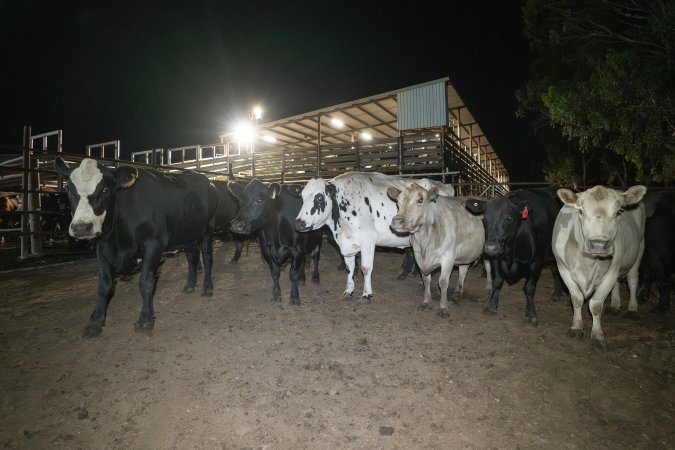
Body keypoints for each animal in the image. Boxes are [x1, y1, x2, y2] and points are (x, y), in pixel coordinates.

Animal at [54, 158, 217, 338]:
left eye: (105, 189)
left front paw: (145, 318)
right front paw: (94, 322)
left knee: (207, 258)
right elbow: (104, 286)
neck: (118, 240)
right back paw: (189, 285)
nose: (82, 227)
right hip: (187, 233)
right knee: (192, 257)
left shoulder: (154, 244)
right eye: (69, 189)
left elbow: (146, 282)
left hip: (207, 230)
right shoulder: (102, 247)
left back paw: (207, 287)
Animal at [294, 171, 456, 302]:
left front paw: (366, 294)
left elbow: (366, 268)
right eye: (301, 197)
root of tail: (444, 185)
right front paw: (349, 291)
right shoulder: (347, 243)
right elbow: (350, 268)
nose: (299, 223)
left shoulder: (368, 239)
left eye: (320, 198)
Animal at [388, 183, 488, 316]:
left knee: (488, 267)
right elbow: (426, 280)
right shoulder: (418, 256)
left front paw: (443, 307)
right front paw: (426, 301)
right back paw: (457, 293)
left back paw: (489, 289)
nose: (397, 221)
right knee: (463, 269)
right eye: (397, 201)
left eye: (420, 200)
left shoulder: (448, 257)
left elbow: (443, 282)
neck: (425, 238)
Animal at [464, 188, 564, 326]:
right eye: (484, 219)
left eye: (508, 218)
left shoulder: (537, 261)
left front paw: (531, 314)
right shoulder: (496, 258)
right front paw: (491, 306)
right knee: (555, 269)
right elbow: (497, 282)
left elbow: (529, 287)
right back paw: (557, 293)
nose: (490, 248)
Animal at [556, 185, 648, 348]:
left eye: (618, 212)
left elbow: (596, 305)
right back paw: (615, 305)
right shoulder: (563, 269)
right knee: (618, 283)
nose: (599, 244)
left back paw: (632, 308)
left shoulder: (610, 273)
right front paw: (576, 328)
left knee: (632, 279)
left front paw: (598, 335)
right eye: (581, 211)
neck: (589, 263)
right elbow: (577, 299)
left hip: (640, 248)